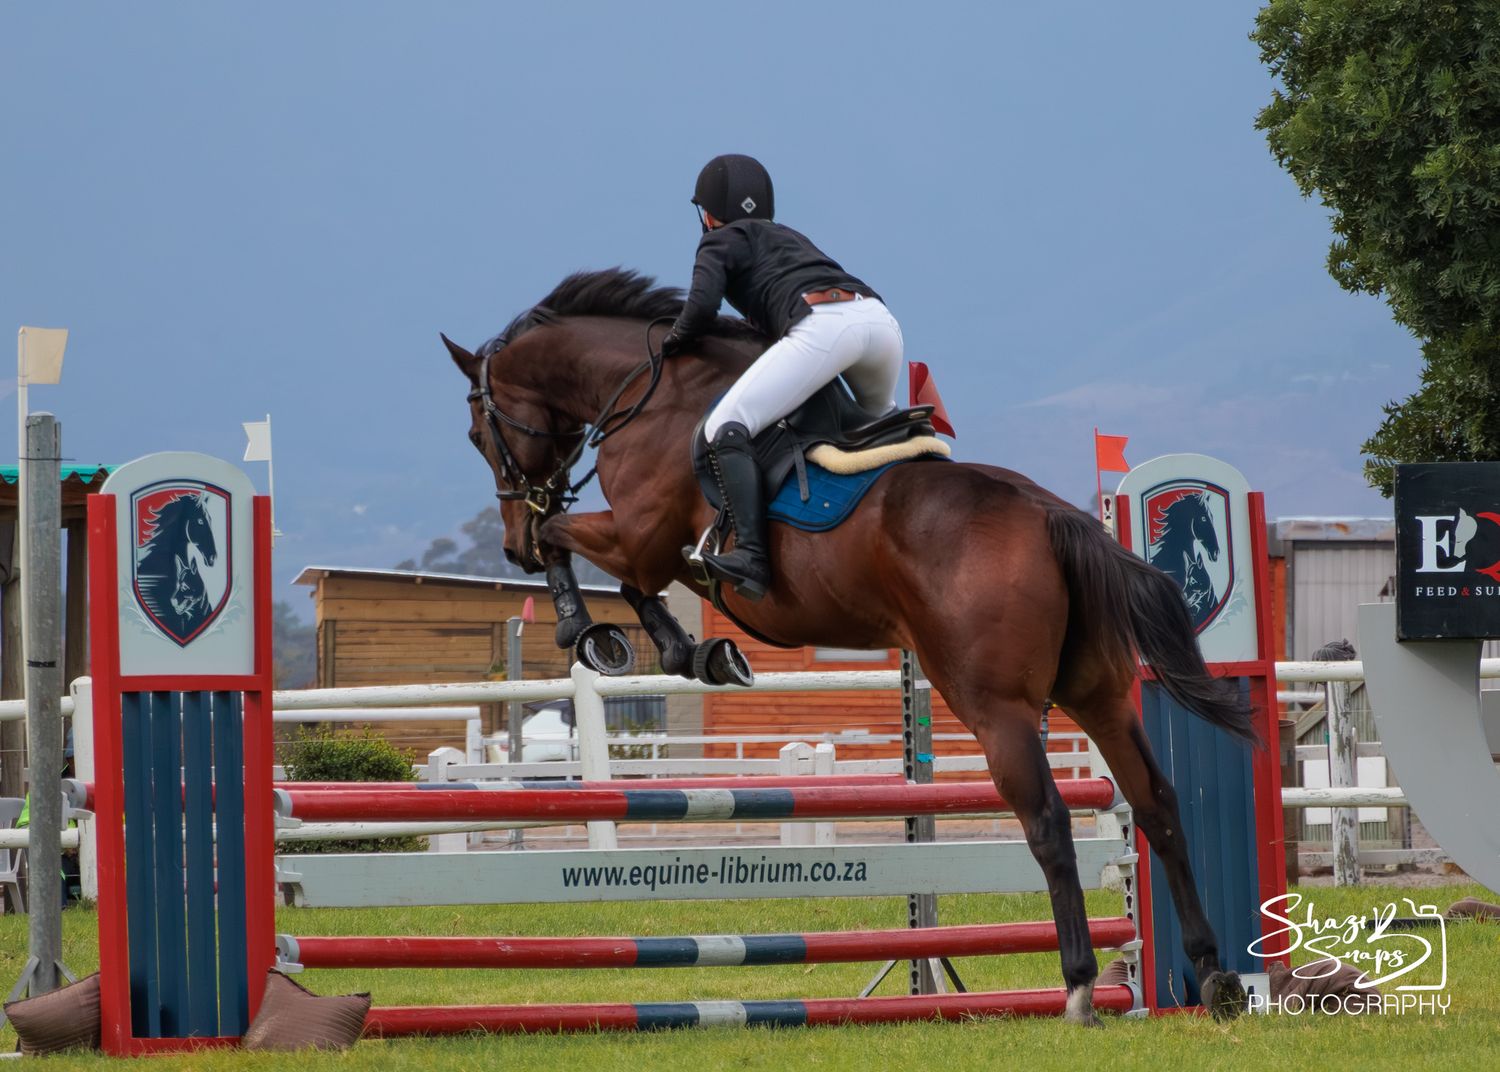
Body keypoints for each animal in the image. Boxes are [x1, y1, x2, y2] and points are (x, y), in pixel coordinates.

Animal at [443, 268, 1256, 1024]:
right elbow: (625, 580)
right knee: (1157, 804)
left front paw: (588, 631)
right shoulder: (654, 549)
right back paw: (1213, 976)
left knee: (1050, 822)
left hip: (995, 705)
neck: (650, 391)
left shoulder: (642, 536)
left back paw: (1082, 988)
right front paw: (696, 654)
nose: (508, 546)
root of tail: (1054, 517)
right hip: (1099, 694)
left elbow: (577, 545)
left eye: (481, 436)